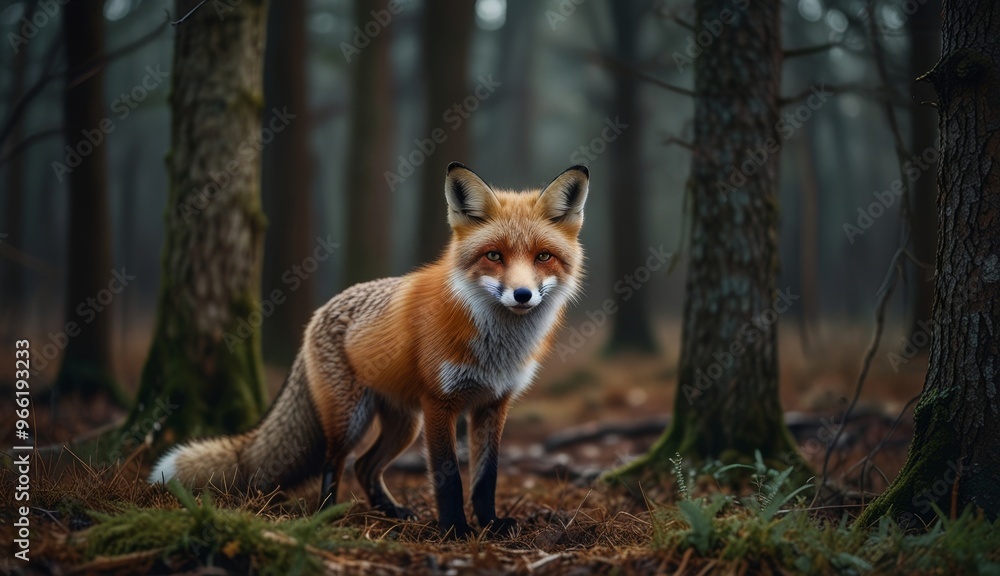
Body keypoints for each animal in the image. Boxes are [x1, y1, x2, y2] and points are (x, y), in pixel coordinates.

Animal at [149, 162, 589, 538]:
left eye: (543, 256)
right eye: (494, 255)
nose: (522, 294)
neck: (498, 347)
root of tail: (319, 313)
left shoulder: (493, 405)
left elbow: (486, 477)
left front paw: (490, 524)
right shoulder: (440, 404)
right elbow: (449, 477)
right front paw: (455, 530)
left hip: (404, 424)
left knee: (365, 466)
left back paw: (390, 510)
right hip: (353, 417)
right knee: (335, 463)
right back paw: (327, 516)